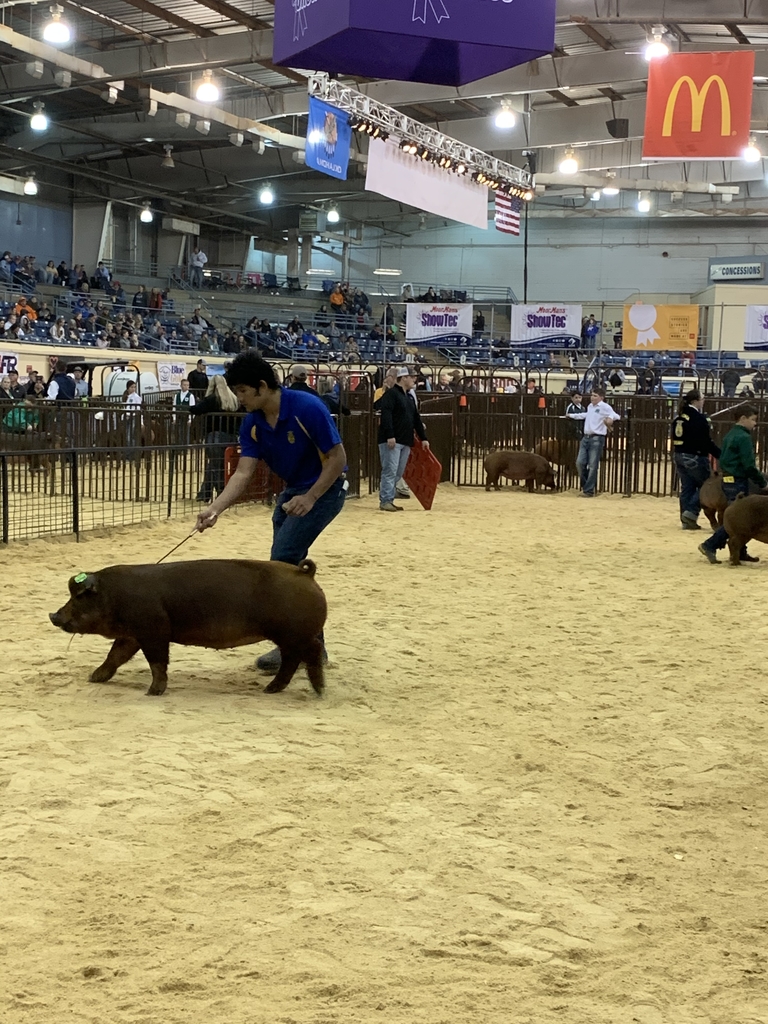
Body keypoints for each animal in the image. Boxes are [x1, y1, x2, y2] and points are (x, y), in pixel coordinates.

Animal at [50, 561, 327, 696]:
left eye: (79, 596)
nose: (53, 615)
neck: (114, 596)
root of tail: (306, 574)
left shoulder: (154, 632)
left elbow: (157, 662)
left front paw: (153, 692)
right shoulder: (132, 636)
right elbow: (114, 656)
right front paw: (94, 678)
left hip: (294, 634)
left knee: (310, 651)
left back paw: (317, 690)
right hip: (290, 637)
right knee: (293, 659)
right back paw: (273, 689)